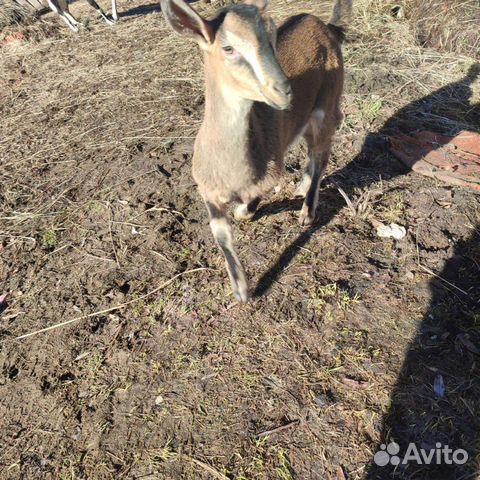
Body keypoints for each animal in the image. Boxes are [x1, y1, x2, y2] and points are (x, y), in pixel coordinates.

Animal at [162, 0, 352, 302]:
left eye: (272, 40)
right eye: (228, 48)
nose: (284, 90)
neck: (233, 170)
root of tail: (325, 26)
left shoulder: (270, 172)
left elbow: (246, 208)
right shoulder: (206, 187)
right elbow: (221, 233)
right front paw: (240, 290)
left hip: (328, 103)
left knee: (322, 152)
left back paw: (307, 211)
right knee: (311, 150)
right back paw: (301, 187)